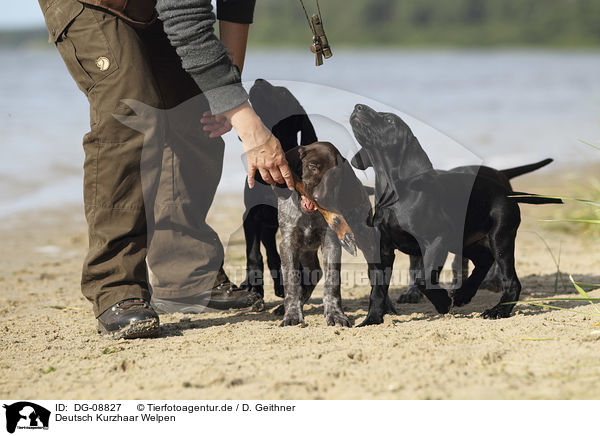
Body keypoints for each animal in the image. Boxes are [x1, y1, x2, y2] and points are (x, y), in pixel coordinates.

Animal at [240, 78, 318, 298]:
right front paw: (253, 285)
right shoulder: (251, 216)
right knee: (271, 253)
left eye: (283, 93)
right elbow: (253, 254)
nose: (259, 80)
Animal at [350, 104, 560, 326]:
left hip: (499, 238)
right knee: (484, 261)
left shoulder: (436, 240)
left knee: (511, 281)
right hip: (465, 241)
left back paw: (497, 311)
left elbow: (424, 279)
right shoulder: (384, 250)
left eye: (389, 120)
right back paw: (463, 294)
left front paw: (442, 303)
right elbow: (378, 290)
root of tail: (506, 191)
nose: (357, 106)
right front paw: (372, 319)